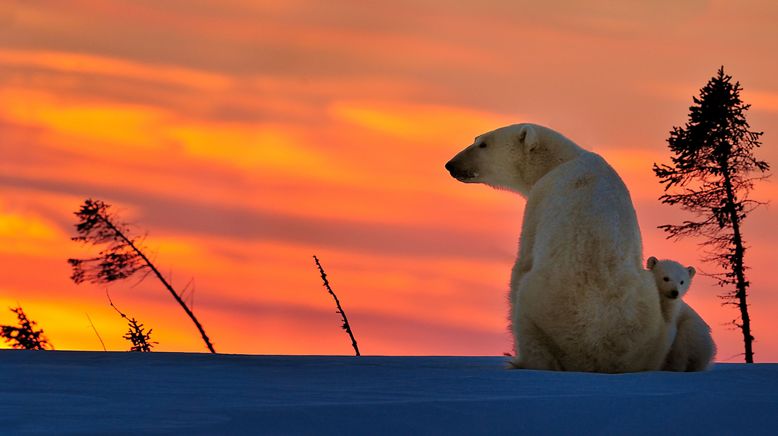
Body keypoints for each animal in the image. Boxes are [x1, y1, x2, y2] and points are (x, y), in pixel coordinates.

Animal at [442, 122, 668, 372]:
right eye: (476, 139)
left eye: (482, 143)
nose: (451, 165)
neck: (562, 160)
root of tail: (596, 354)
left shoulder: (540, 197)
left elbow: (524, 257)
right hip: (648, 311)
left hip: (544, 303)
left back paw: (519, 360)